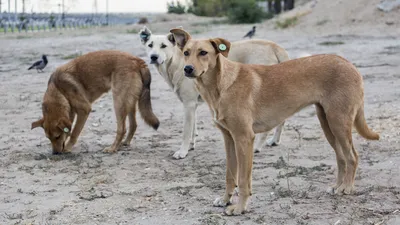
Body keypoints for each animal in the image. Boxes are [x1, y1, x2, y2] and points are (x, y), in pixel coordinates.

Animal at [31, 50, 159, 154]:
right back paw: (125, 142)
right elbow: (68, 130)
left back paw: (113, 148)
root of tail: (138, 61)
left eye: (57, 137)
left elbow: (74, 133)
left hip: (119, 101)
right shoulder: (71, 113)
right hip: (129, 101)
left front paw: (67, 148)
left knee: (122, 129)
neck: (58, 89)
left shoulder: (84, 110)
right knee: (133, 125)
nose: (55, 153)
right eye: (48, 138)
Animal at [141, 27, 290, 159]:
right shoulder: (193, 105)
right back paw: (274, 141)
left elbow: (186, 131)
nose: (153, 57)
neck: (176, 63)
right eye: (150, 45)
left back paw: (258, 146)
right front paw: (191, 145)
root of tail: (275, 46)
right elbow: (193, 128)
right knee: (281, 119)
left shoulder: (188, 104)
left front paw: (182, 151)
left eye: (163, 46)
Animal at [170, 29, 380, 215]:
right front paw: (225, 200)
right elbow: (230, 176)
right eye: (186, 53)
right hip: (328, 124)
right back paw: (337, 186)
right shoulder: (229, 139)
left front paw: (239, 208)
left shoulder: (244, 139)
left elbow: (243, 180)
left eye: (203, 52)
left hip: (339, 122)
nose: (187, 69)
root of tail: (349, 64)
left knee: (352, 157)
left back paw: (347, 188)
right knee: (341, 157)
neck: (221, 85)